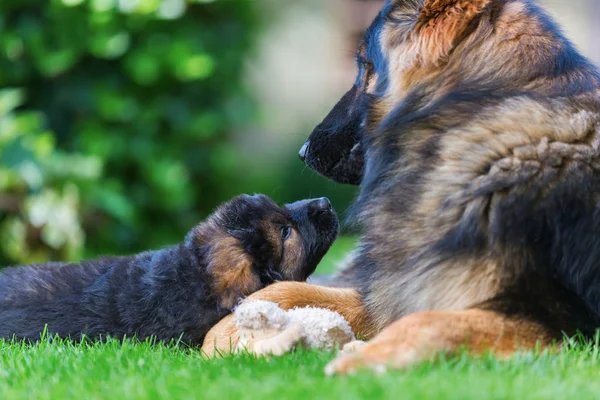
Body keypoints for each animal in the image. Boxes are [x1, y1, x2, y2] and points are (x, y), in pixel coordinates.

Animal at [204, 0, 600, 376]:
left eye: (364, 66)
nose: (302, 152)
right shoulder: (399, 284)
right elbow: (295, 289)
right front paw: (221, 334)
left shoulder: (556, 320)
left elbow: (426, 321)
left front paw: (360, 359)